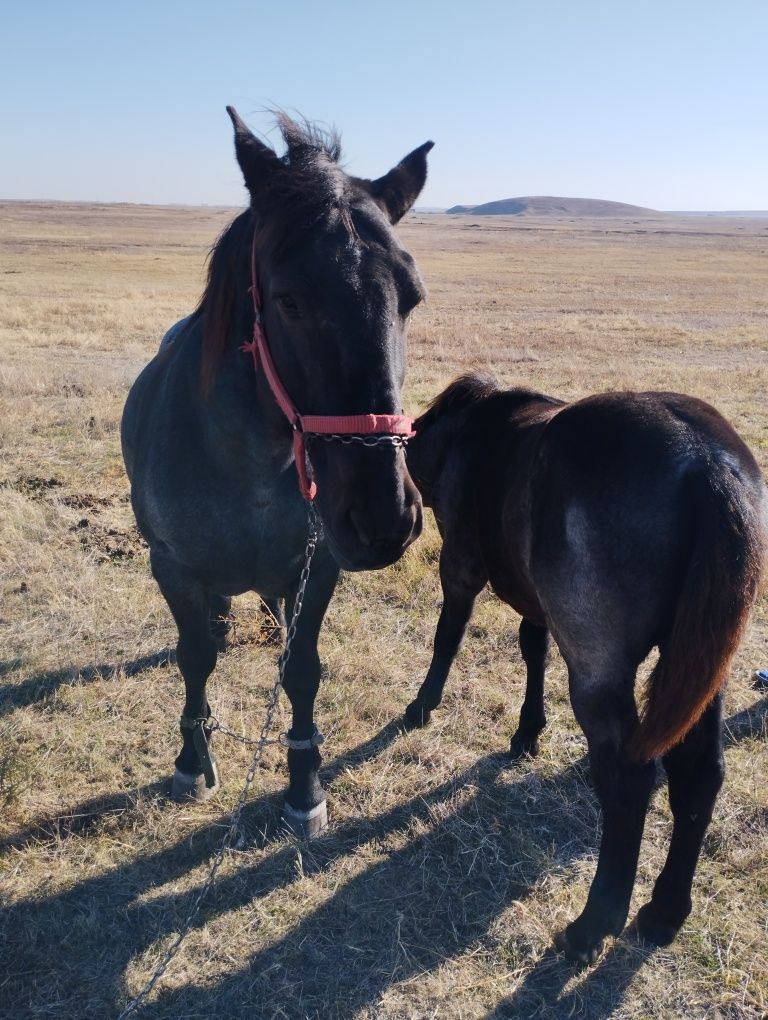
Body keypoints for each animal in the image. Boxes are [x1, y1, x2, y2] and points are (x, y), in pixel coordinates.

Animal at [120, 107, 432, 832]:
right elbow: (195, 657)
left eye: (411, 298)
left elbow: (302, 671)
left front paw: (305, 784)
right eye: (289, 301)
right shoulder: (171, 566)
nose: (384, 517)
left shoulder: (319, 568)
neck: (253, 465)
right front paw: (191, 761)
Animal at [403, 375, 762, 962]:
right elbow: (533, 649)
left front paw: (422, 705)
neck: (471, 429)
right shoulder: (537, 604)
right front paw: (528, 731)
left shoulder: (459, 567)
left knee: (629, 780)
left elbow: (447, 638)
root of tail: (707, 465)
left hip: (601, 673)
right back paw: (664, 912)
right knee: (700, 776)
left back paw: (595, 922)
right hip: (701, 673)